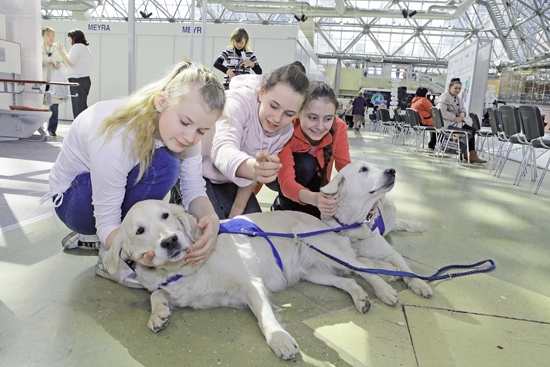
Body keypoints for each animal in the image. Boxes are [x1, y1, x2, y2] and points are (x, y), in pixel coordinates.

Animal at [102, 160, 432, 360]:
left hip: (324, 248)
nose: (170, 241)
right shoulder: (176, 290)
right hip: (312, 271)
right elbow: (156, 294)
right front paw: (158, 315)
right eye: (140, 231)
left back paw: (388, 289)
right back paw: (362, 298)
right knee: (349, 280)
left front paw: (279, 339)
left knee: (365, 268)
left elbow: (265, 316)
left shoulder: (251, 284)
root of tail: (326, 223)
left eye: (166, 215)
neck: (185, 268)